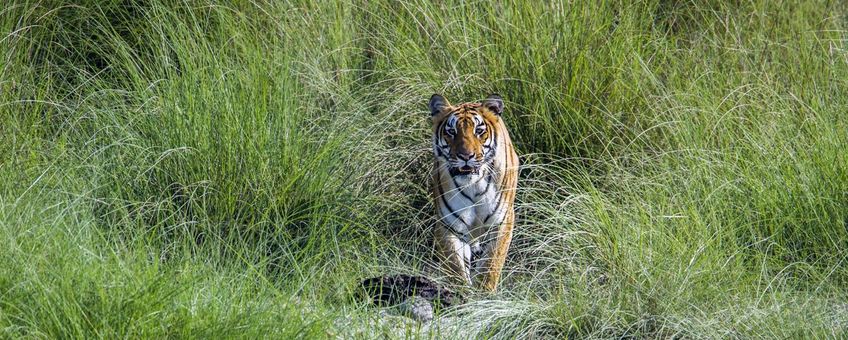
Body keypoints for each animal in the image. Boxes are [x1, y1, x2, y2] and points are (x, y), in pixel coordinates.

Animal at [428, 93, 520, 292]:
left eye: (479, 131)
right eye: (451, 132)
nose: (465, 156)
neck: (474, 185)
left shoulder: (502, 221)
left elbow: (491, 264)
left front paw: (485, 293)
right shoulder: (449, 226)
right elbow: (455, 266)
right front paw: (461, 293)